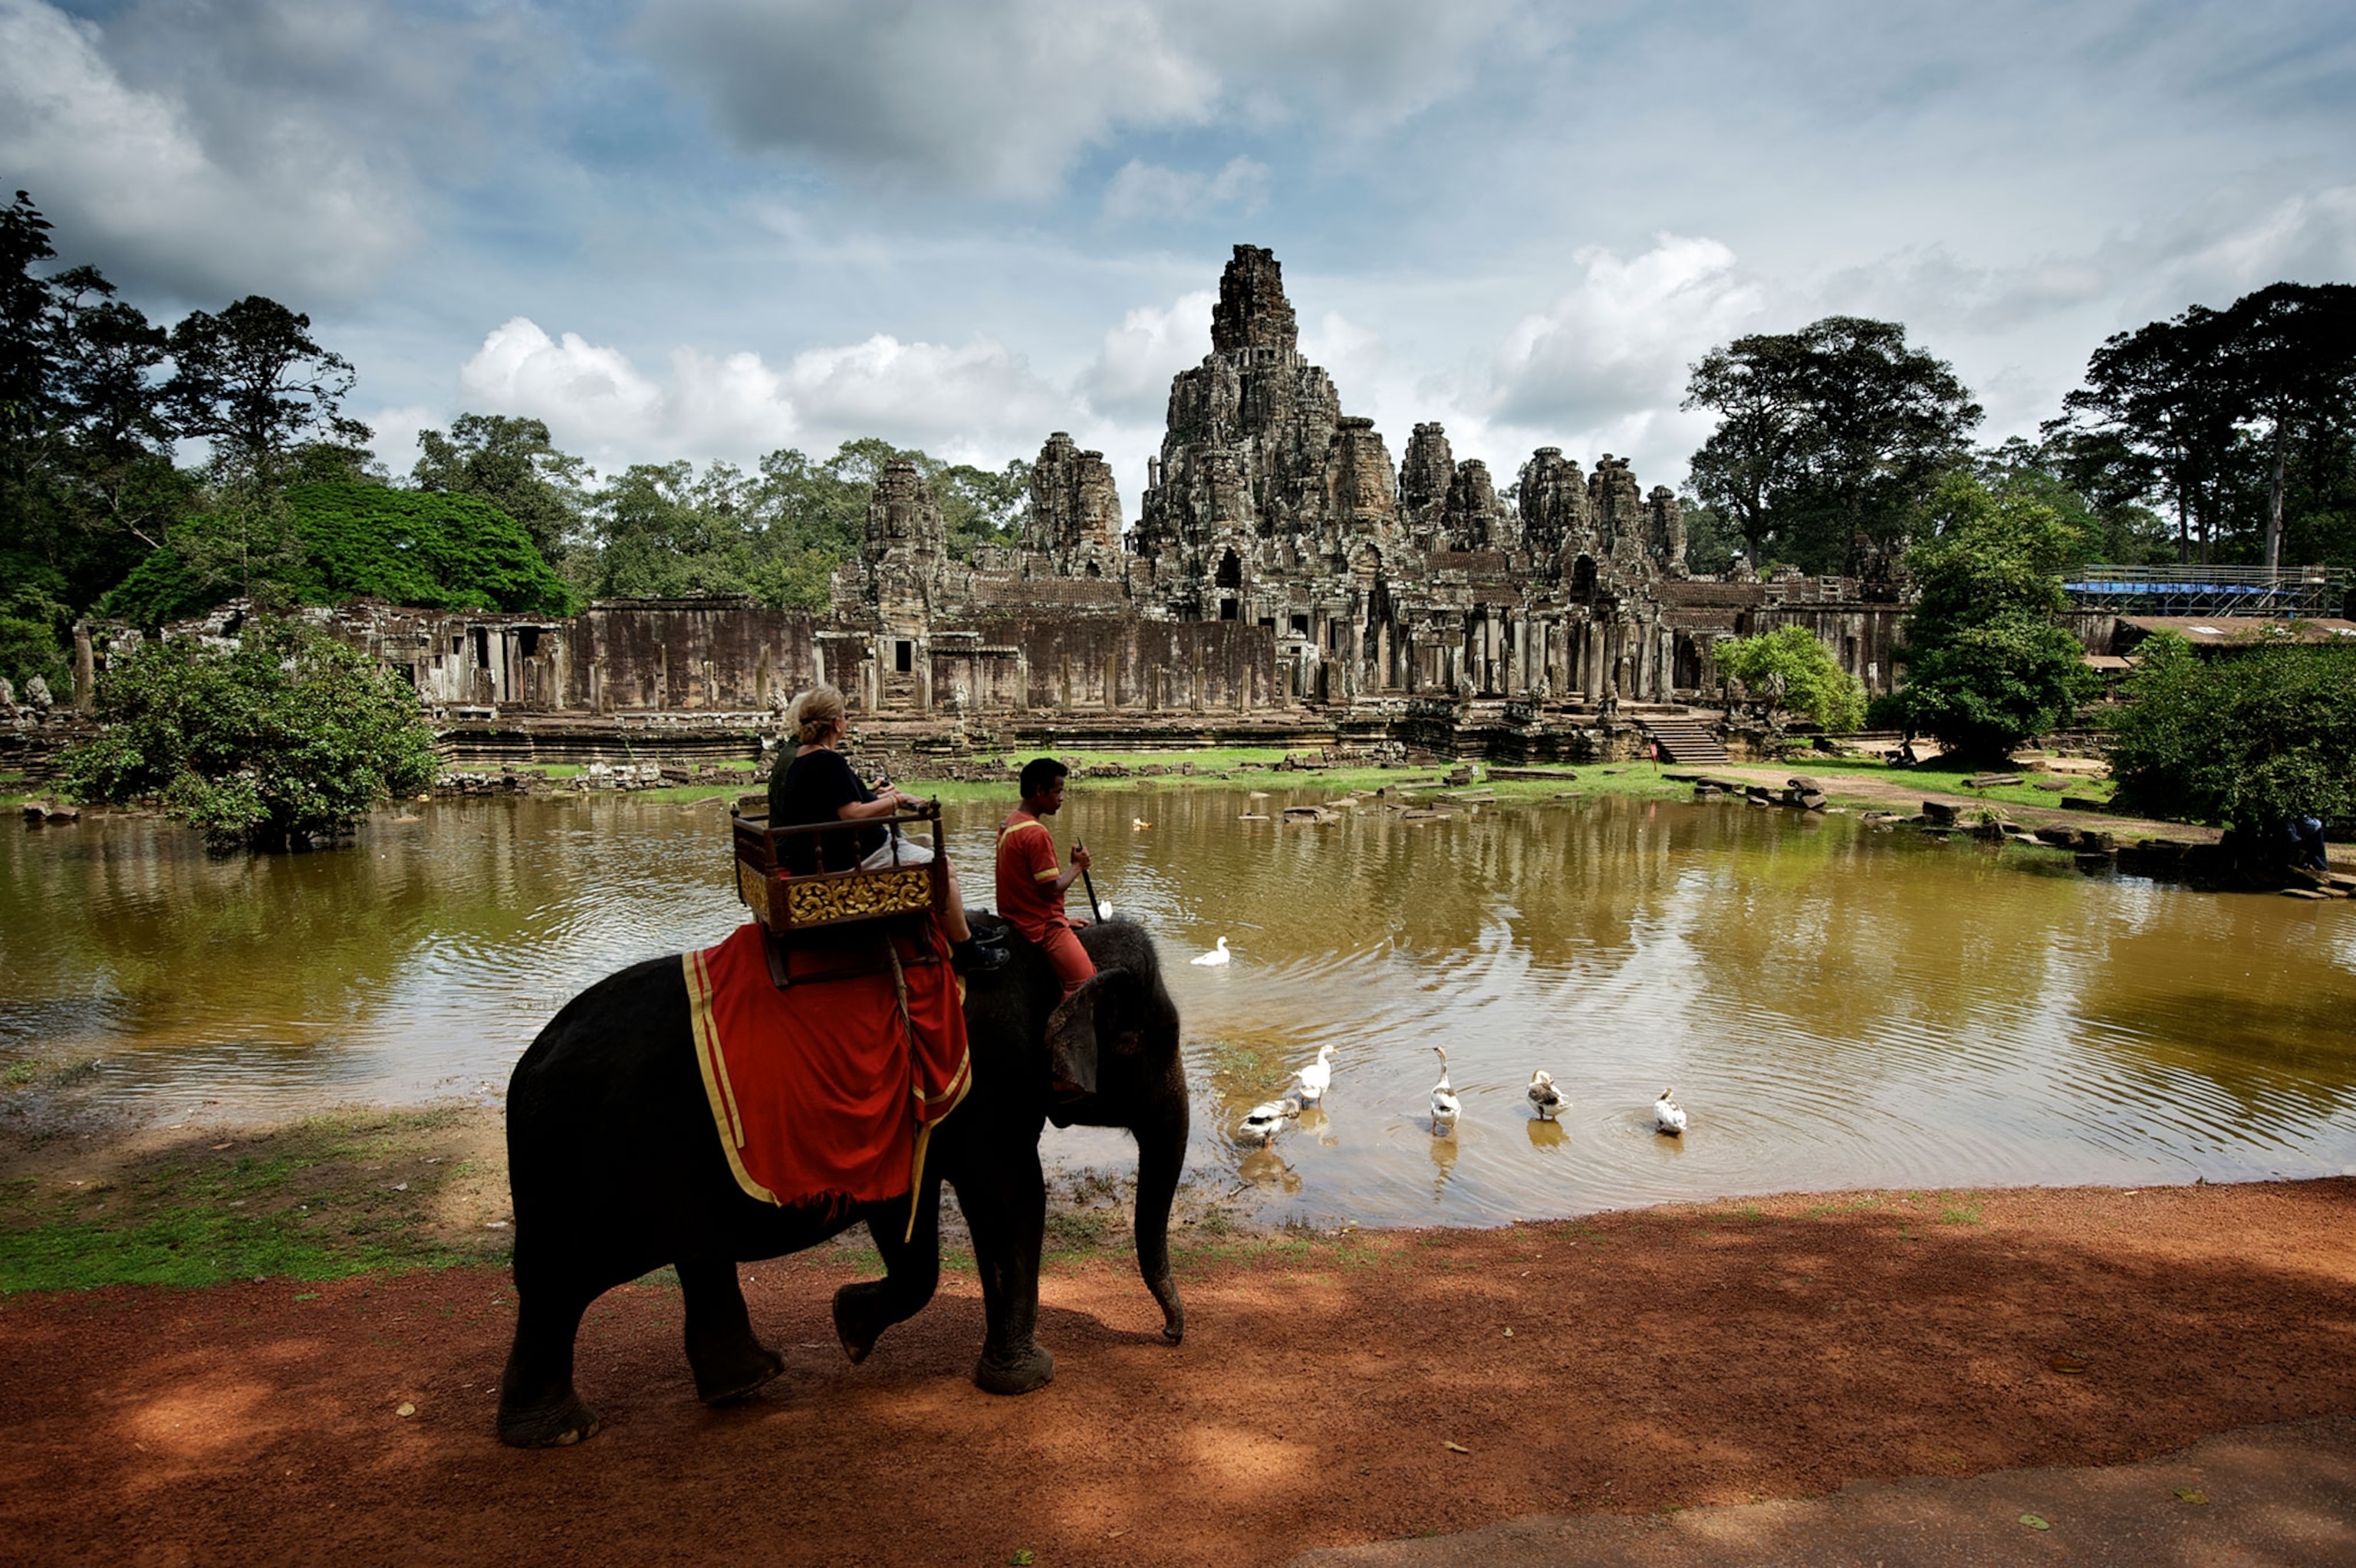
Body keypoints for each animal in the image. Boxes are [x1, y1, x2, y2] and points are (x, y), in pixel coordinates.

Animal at [495, 914, 1189, 1447]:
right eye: (1142, 1040)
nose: (1168, 1336)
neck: (1058, 944)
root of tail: (527, 1063)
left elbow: (907, 1214)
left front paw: (849, 1329)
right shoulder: (989, 1081)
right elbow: (1010, 1194)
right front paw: (1026, 1379)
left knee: (693, 1257)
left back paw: (748, 1381)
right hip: (579, 1164)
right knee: (558, 1285)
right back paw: (561, 1432)